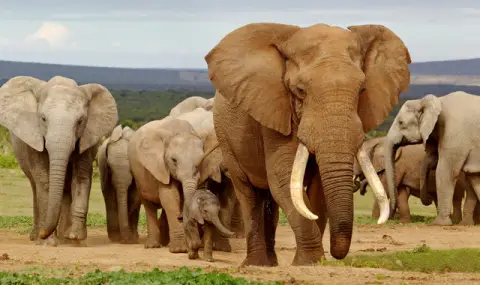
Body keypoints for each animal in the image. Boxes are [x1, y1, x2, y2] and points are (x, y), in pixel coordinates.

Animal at [0, 75, 118, 244]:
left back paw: (64, 238)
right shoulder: (34, 139)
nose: (44, 233)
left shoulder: (86, 139)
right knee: (35, 185)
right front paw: (47, 243)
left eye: (80, 121)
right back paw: (36, 236)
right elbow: (44, 180)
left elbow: (81, 178)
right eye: (43, 119)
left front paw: (75, 238)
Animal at [204, 23, 410, 266]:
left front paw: (314, 262)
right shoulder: (275, 110)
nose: (336, 255)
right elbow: (283, 178)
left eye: (361, 90)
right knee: (248, 193)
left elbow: (318, 187)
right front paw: (310, 262)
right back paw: (256, 264)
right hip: (226, 138)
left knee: (268, 199)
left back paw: (271, 263)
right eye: (300, 91)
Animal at [386, 92, 480, 225]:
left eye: (401, 122)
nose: (430, 199)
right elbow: (474, 177)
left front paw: (439, 224)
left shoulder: (455, 136)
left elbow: (445, 171)